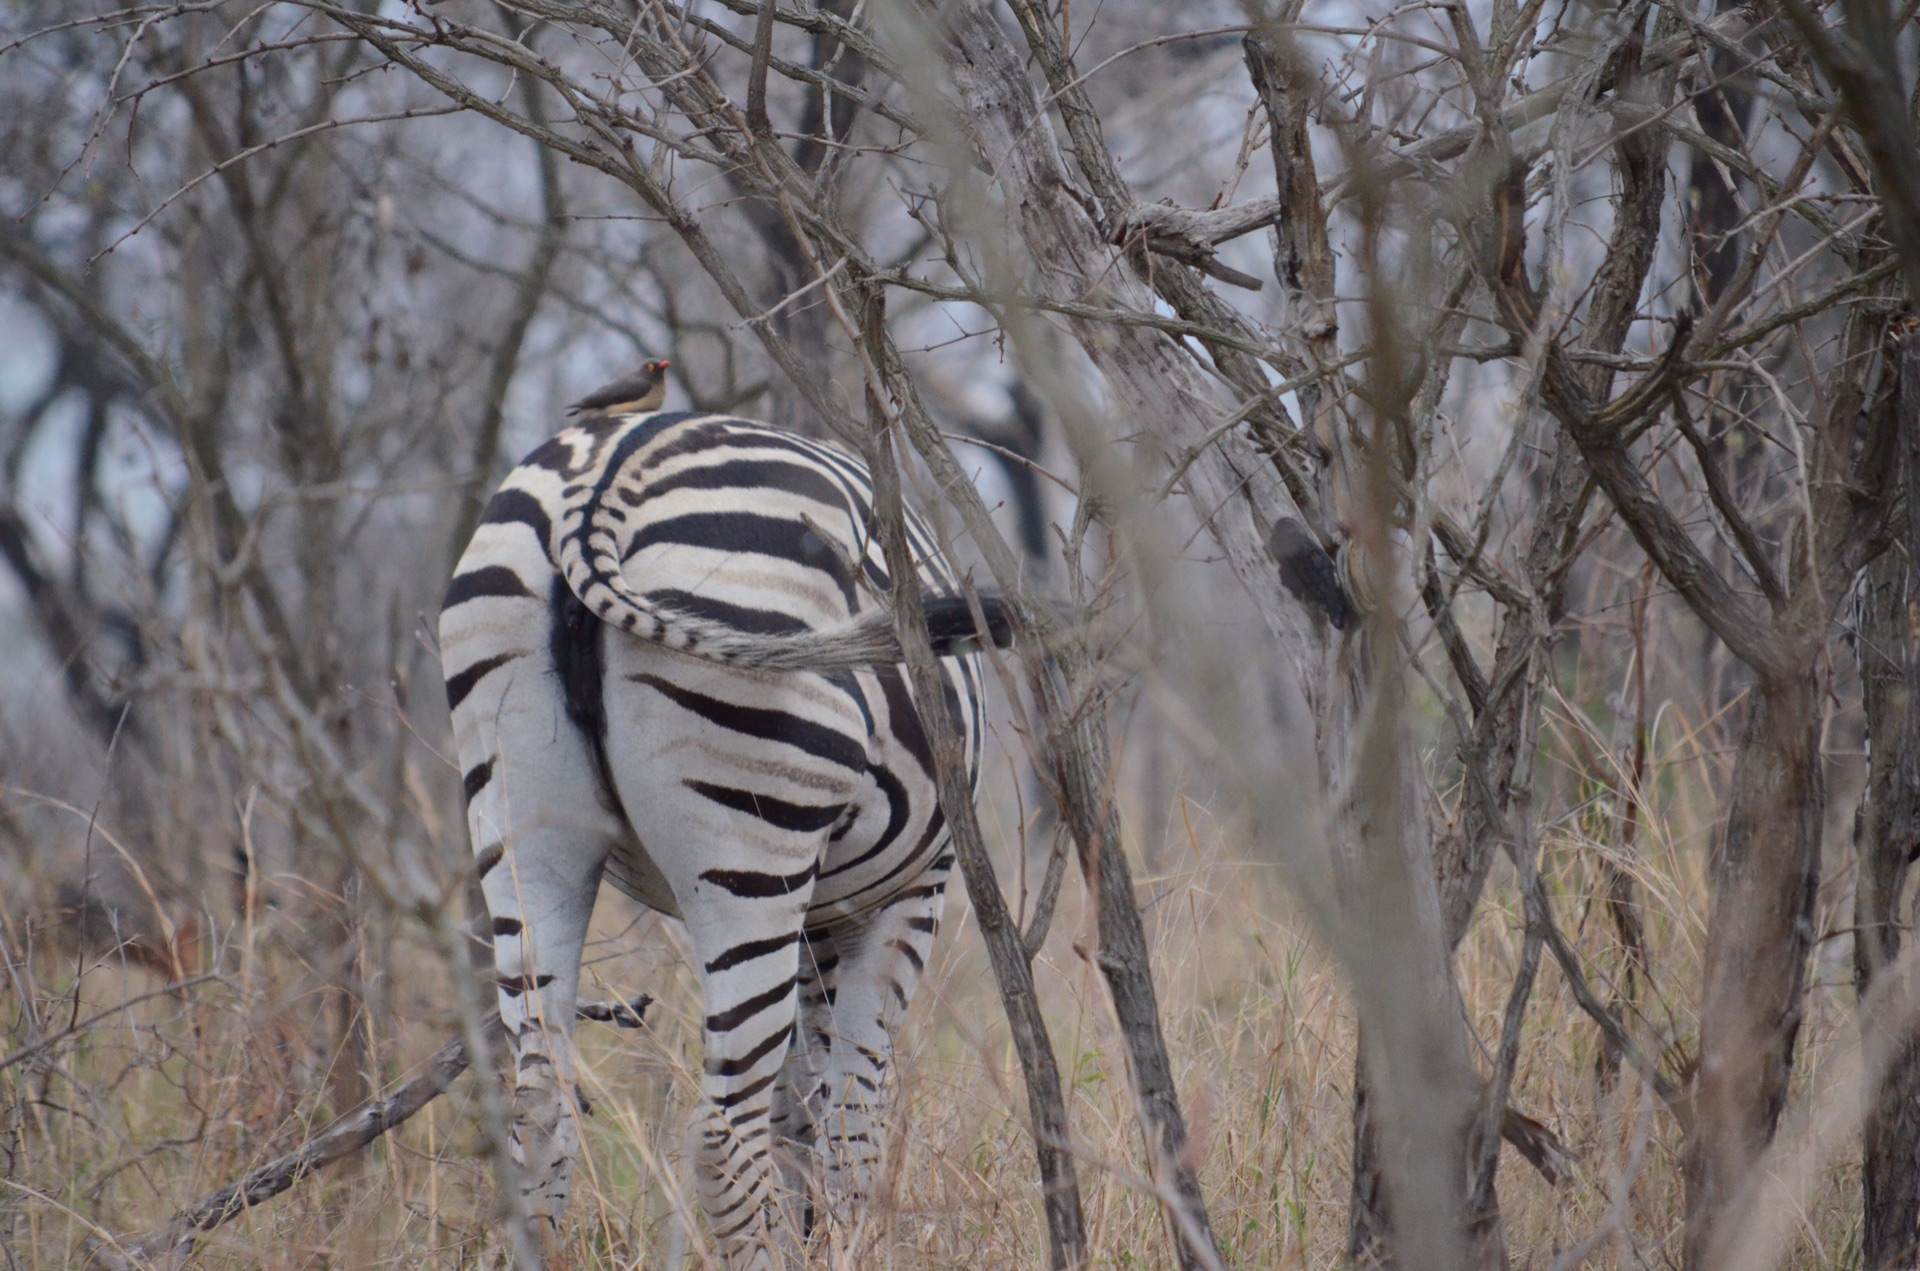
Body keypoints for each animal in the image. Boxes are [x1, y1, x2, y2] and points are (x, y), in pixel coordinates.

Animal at [435, 380, 1006, 1271]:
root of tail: (596, 485)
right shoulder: (913, 888)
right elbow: (851, 1114)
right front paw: (843, 1241)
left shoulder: (824, 915)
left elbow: (803, 1102)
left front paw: (818, 1235)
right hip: (752, 846)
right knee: (720, 1132)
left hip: (519, 818)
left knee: (538, 1104)